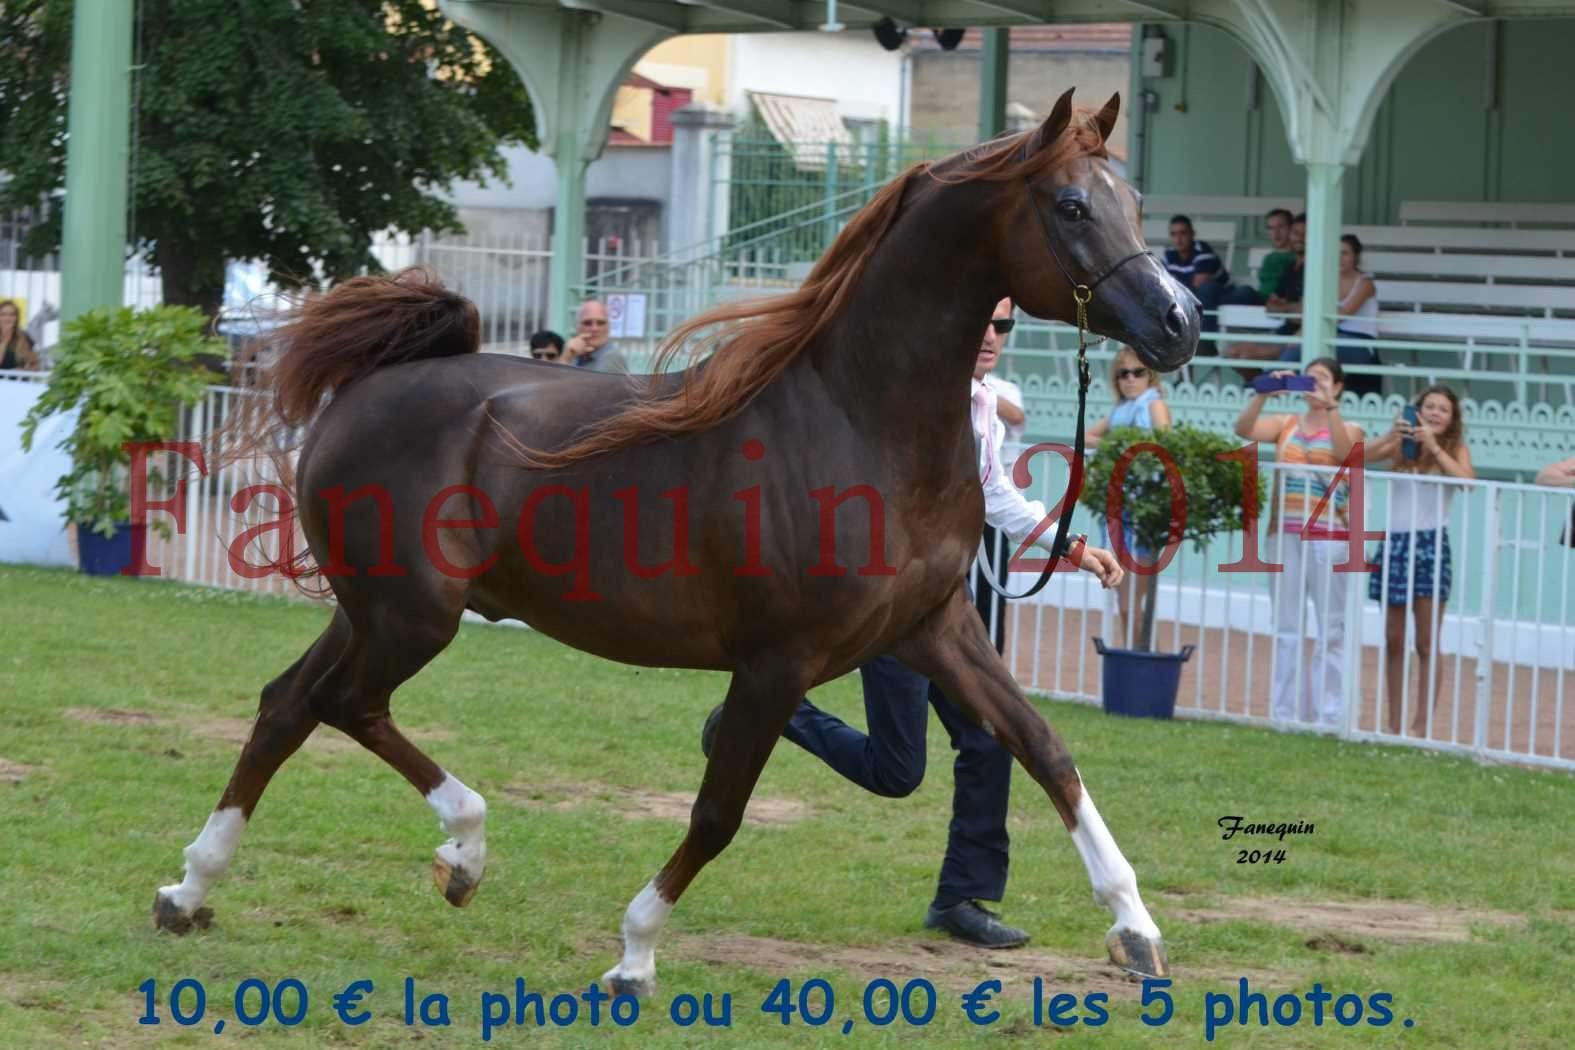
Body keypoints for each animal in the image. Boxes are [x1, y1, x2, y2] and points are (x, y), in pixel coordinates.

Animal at [156, 90, 1190, 994]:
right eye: (1069, 205)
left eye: (1136, 202)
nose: (1177, 323)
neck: (858, 420)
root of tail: (366, 388)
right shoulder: (777, 662)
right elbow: (719, 810)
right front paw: (633, 956)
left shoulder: (934, 629)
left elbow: (1043, 748)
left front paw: (1136, 931)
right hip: (412, 618)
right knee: (344, 705)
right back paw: (462, 852)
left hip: (371, 611)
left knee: (287, 704)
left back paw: (189, 890)